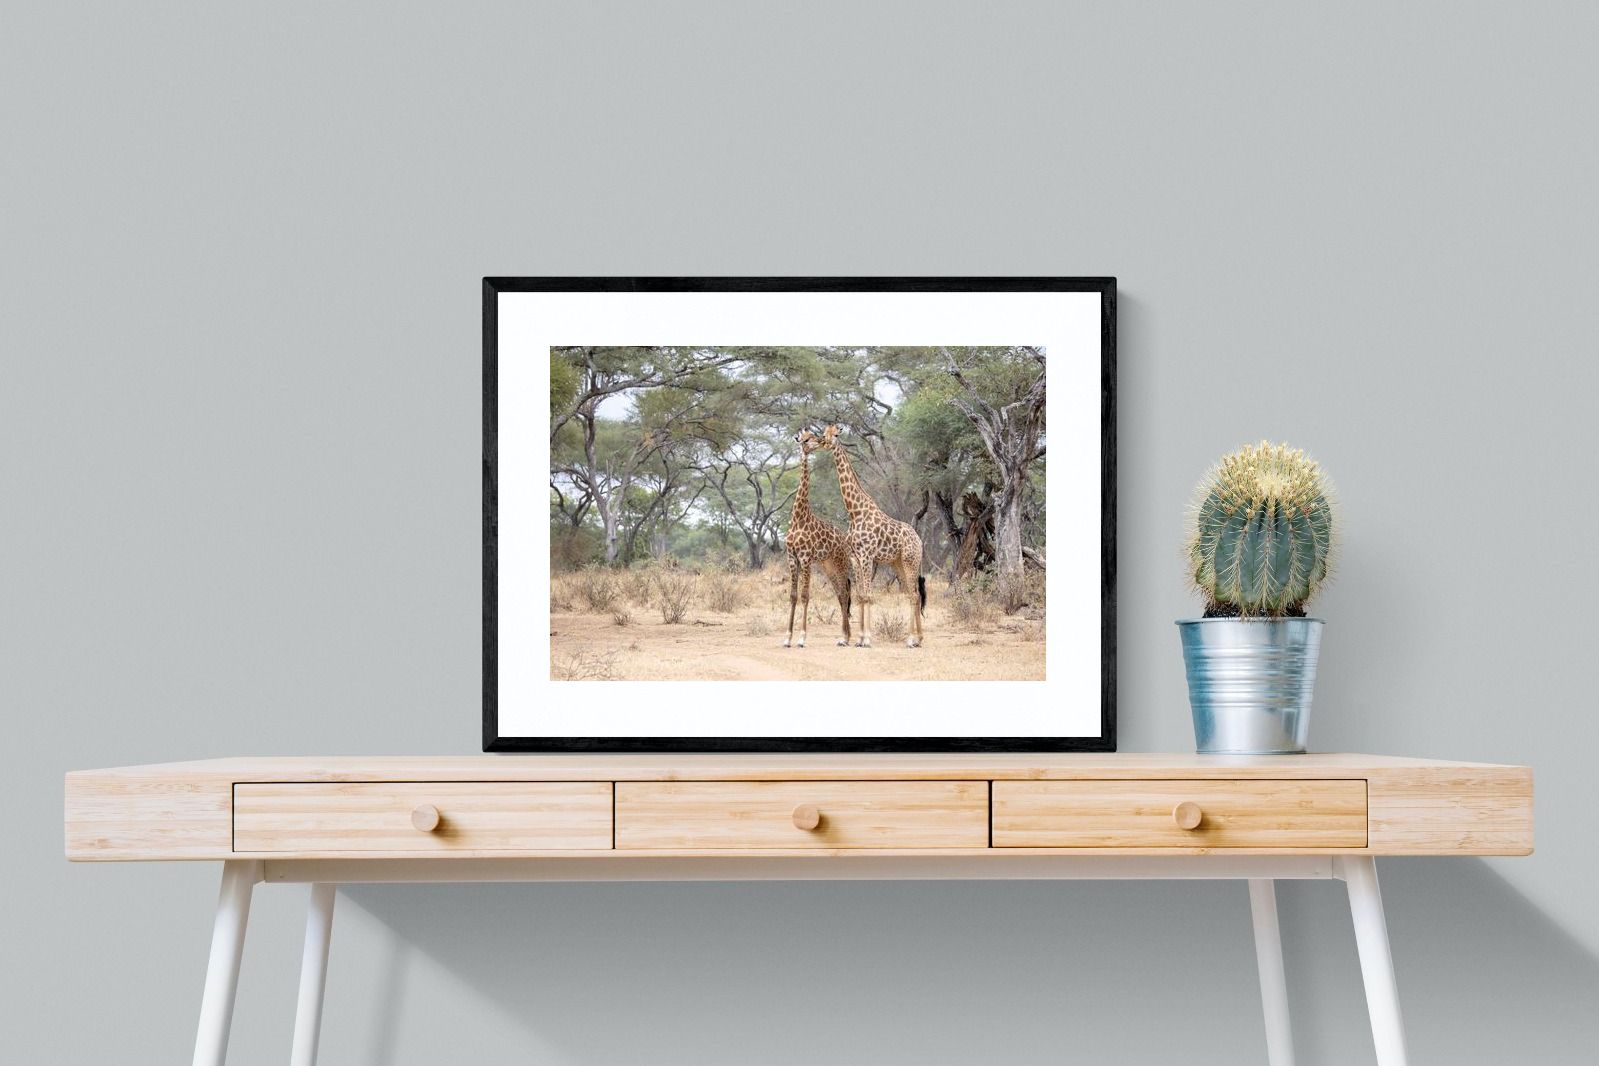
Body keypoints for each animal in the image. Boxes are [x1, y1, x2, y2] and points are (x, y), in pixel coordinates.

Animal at [781, 429, 853, 649]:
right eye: (805, 438)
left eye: (812, 435)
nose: (820, 441)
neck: (798, 517)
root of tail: (844, 540)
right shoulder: (792, 557)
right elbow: (793, 596)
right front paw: (787, 638)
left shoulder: (805, 558)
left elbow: (805, 596)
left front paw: (802, 638)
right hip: (827, 566)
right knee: (840, 594)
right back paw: (845, 636)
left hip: (841, 564)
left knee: (845, 594)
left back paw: (845, 637)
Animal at [820, 424, 926, 648]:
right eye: (824, 433)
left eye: (834, 434)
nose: (823, 442)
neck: (855, 511)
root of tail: (919, 540)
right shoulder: (855, 557)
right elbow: (861, 595)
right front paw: (859, 639)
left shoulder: (867, 556)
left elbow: (868, 595)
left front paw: (867, 639)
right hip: (898, 563)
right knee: (913, 595)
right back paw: (918, 638)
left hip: (910, 560)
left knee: (914, 596)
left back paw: (911, 640)